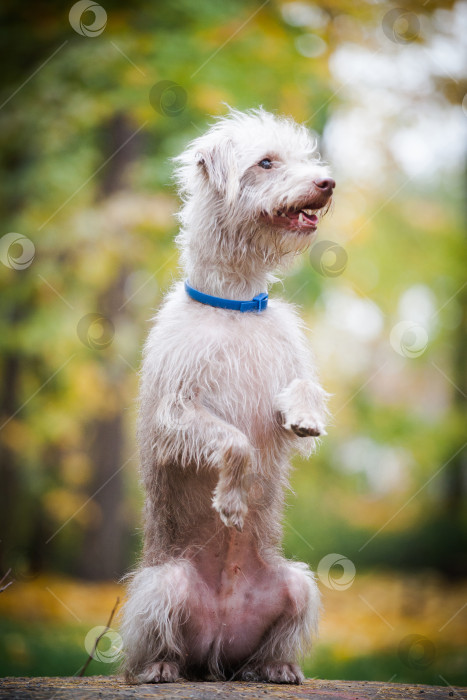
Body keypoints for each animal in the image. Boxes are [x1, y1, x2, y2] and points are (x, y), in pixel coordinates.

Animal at [120, 108, 336, 684]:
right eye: (265, 162)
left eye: (305, 157)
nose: (327, 183)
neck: (236, 304)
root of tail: (217, 648)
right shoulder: (174, 415)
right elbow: (236, 442)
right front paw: (232, 502)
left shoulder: (285, 362)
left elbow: (304, 383)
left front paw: (305, 416)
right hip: (165, 585)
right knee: (157, 645)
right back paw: (161, 667)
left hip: (297, 585)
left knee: (266, 645)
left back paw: (277, 667)